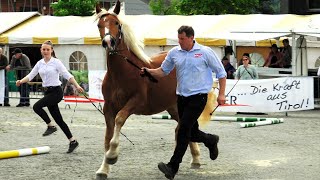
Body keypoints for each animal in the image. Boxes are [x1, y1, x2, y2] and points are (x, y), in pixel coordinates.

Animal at [94, 1, 208, 179]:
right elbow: (107, 137)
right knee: (183, 127)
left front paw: (112, 156)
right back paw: (194, 158)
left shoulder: (135, 102)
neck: (122, 73)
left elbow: (119, 120)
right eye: (100, 24)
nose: (108, 42)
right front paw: (103, 169)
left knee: (184, 128)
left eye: (117, 24)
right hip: (174, 107)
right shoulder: (108, 108)